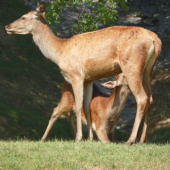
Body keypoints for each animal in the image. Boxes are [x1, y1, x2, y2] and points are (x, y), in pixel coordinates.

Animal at [5, 1, 161, 144]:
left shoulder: (76, 75)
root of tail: (156, 40)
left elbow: (79, 105)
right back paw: (142, 140)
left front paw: (79, 138)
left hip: (131, 65)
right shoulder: (89, 79)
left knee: (142, 98)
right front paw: (90, 138)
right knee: (151, 98)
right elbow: (86, 106)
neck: (60, 51)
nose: (7, 26)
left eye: (23, 17)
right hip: (148, 69)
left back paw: (131, 140)